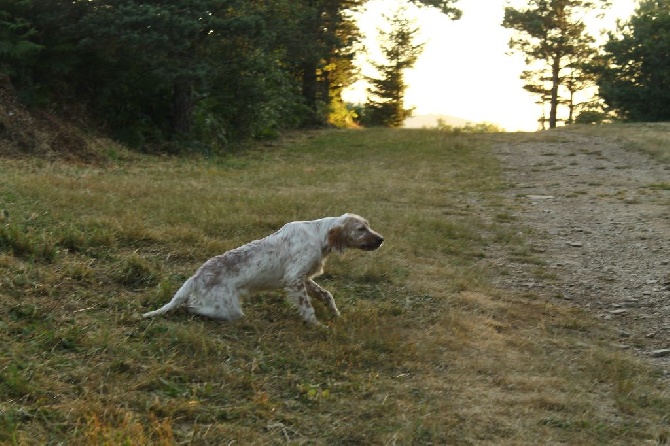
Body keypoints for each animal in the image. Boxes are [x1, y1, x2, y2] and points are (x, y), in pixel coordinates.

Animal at [143, 214, 384, 326]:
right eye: (361, 229)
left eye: (369, 226)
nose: (381, 239)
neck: (319, 235)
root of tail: (196, 276)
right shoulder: (294, 278)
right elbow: (307, 308)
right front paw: (317, 325)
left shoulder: (304, 278)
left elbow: (327, 295)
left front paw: (335, 314)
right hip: (228, 309)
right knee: (193, 307)